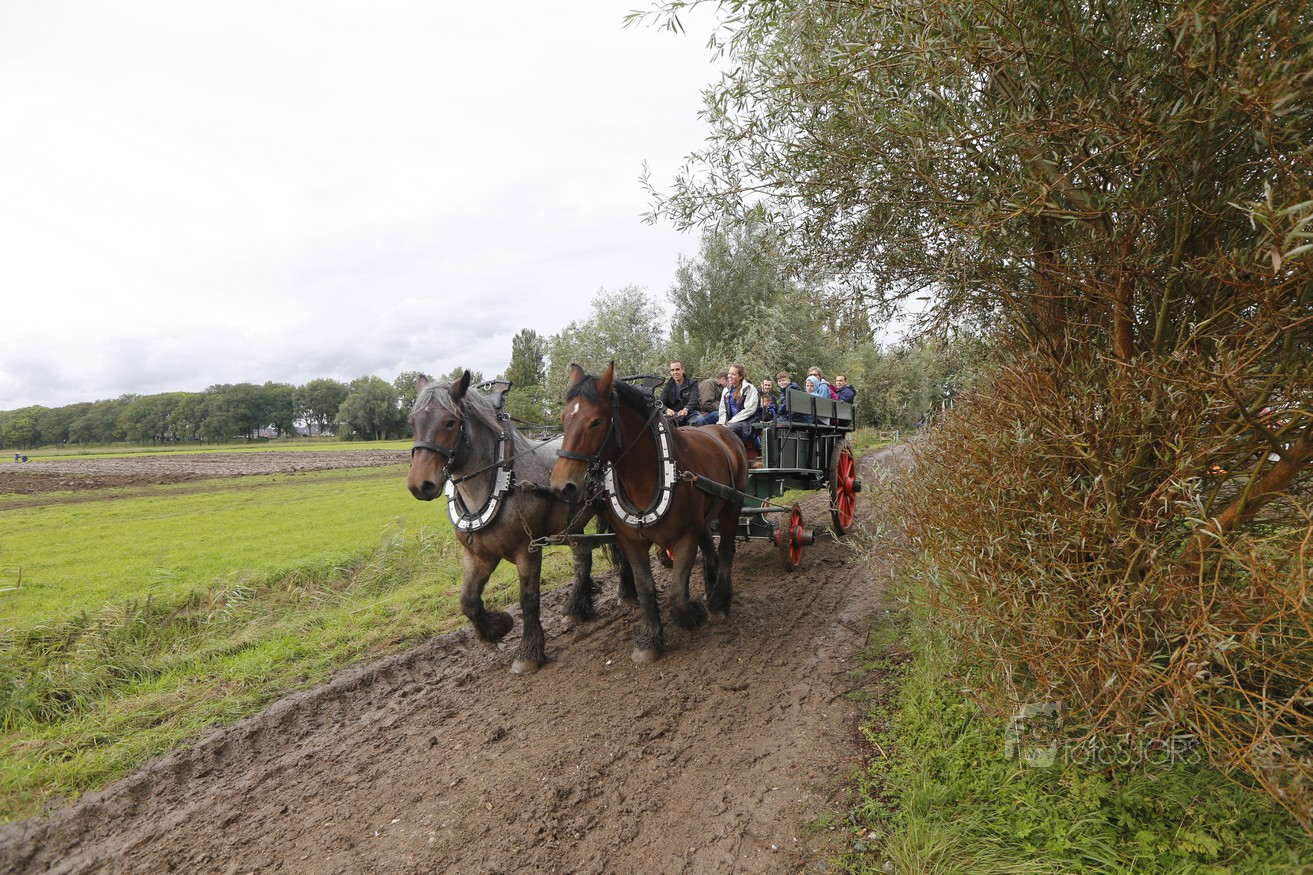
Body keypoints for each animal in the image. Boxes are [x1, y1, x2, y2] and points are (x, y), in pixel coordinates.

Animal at [406, 371, 632, 673]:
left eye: (450, 422)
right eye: (412, 422)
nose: (420, 485)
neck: (500, 481)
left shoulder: (528, 550)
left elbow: (528, 599)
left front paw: (528, 652)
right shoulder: (477, 555)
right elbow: (468, 602)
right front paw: (498, 626)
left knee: (623, 548)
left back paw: (627, 592)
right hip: (572, 525)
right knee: (582, 558)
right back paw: (575, 608)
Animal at [550, 362, 748, 663]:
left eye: (596, 422)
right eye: (563, 418)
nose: (562, 486)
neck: (652, 473)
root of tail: (724, 431)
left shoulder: (684, 538)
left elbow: (677, 595)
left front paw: (694, 613)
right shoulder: (631, 541)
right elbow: (645, 587)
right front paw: (649, 639)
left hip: (731, 507)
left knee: (725, 550)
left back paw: (718, 602)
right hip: (704, 517)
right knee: (710, 550)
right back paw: (711, 588)